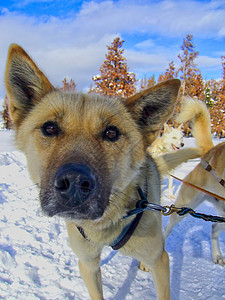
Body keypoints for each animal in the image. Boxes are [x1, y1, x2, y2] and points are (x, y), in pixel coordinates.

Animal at [4, 44, 199, 300]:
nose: (74, 182)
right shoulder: (88, 263)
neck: (104, 225)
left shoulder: (160, 261)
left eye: (111, 133)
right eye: (50, 128)